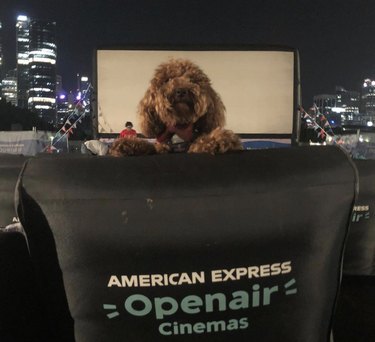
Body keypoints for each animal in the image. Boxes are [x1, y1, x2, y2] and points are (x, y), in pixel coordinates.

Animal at [108, 58, 244, 156]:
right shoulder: (160, 146)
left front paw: (218, 139)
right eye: (168, 80)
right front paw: (126, 144)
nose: (181, 91)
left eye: (192, 80)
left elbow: (200, 142)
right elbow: (151, 146)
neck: (179, 127)